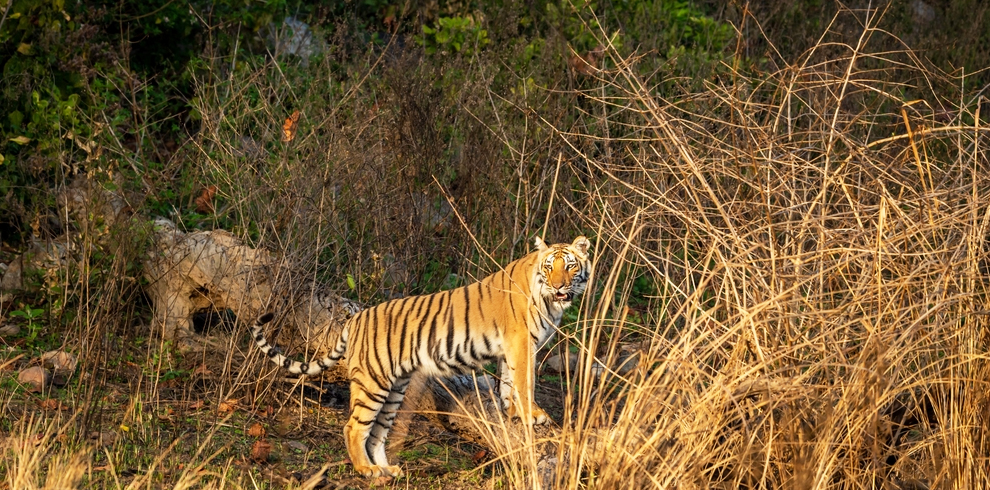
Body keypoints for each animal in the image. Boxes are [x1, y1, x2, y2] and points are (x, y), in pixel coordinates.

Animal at [254, 235, 588, 476]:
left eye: (570, 266)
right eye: (549, 267)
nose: (559, 286)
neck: (551, 302)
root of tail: (356, 318)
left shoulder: (511, 348)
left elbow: (509, 383)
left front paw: (513, 412)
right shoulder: (520, 342)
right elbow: (524, 381)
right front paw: (534, 414)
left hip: (394, 388)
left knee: (377, 433)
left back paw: (386, 470)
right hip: (373, 383)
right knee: (354, 427)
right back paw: (365, 470)